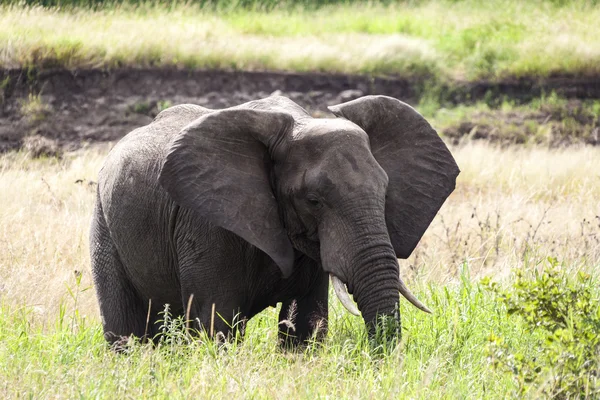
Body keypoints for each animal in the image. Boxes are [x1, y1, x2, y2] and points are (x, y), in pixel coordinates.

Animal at [89, 94, 460, 346]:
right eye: (313, 201)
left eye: (384, 195)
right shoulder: (208, 224)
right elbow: (217, 322)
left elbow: (306, 324)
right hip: (103, 222)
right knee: (125, 331)